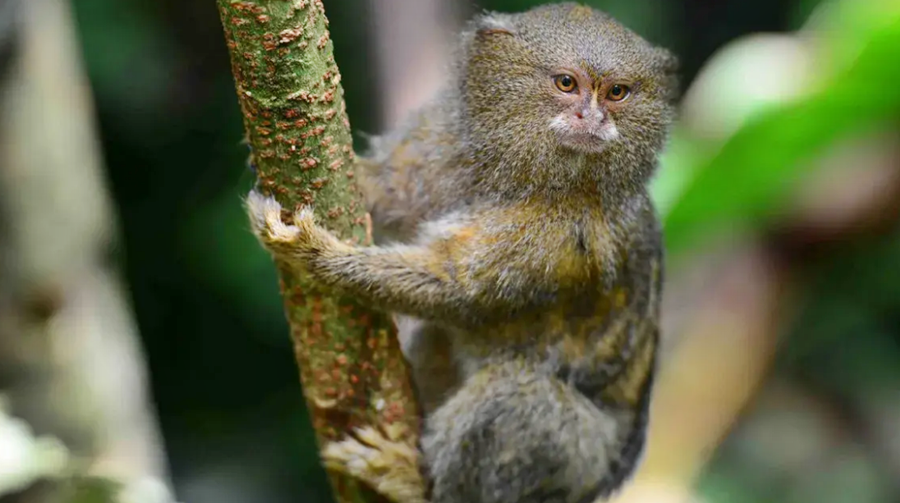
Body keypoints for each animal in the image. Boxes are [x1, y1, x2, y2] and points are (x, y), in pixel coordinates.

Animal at [247, 3, 678, 502]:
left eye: (617, 93)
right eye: (567, 84)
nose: (592, 118)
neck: (523, 174)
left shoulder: (561, 235)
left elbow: (453, 287)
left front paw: (312, 252)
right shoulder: (441, 147)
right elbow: (389, 194)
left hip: (576, 463)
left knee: (520, 400)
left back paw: (409, 480)